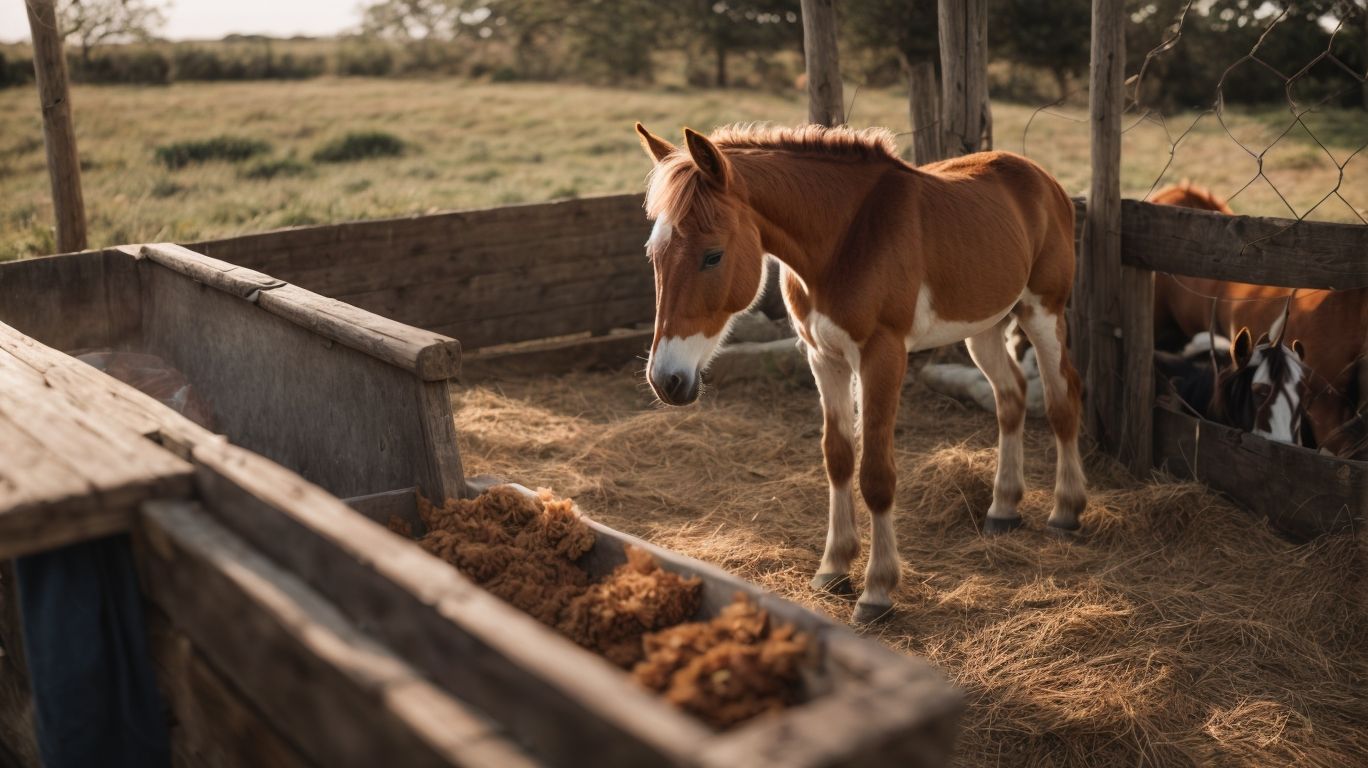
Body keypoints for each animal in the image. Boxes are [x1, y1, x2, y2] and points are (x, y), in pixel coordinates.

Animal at [634, 122, 1087, 624]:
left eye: (712, 256)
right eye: (654, 253)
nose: (666, 380)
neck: (843, 240)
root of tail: (1046, 181)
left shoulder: (882, 357)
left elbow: (875, 473)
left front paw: (877, 590)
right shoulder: (823, 357)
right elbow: (838, 457)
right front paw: (834, 568)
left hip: (1043, 312)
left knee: (1062, 399)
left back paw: (1066, 511)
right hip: (982, 325)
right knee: (1011, 397)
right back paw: (1003, 508)